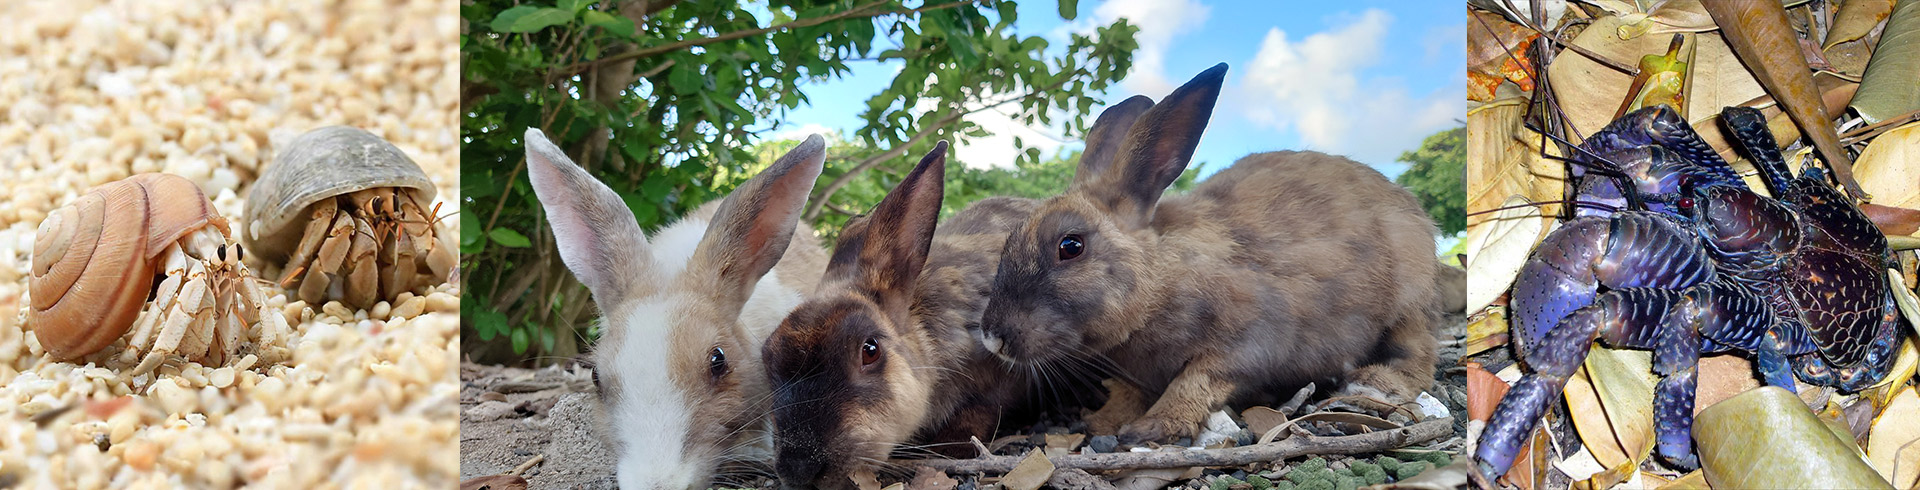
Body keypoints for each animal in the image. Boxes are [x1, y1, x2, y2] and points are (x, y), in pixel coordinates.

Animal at [975, 61, 1443, 443]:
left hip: (1408, 300)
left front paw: (1155, 427)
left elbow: (1200, 379)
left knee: (1418, 354)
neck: (1159, 280)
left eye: (1070, 247)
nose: (992, 337)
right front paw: (1102, 422)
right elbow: (1130, 393)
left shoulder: (1250, 339)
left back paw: (1372, 385)